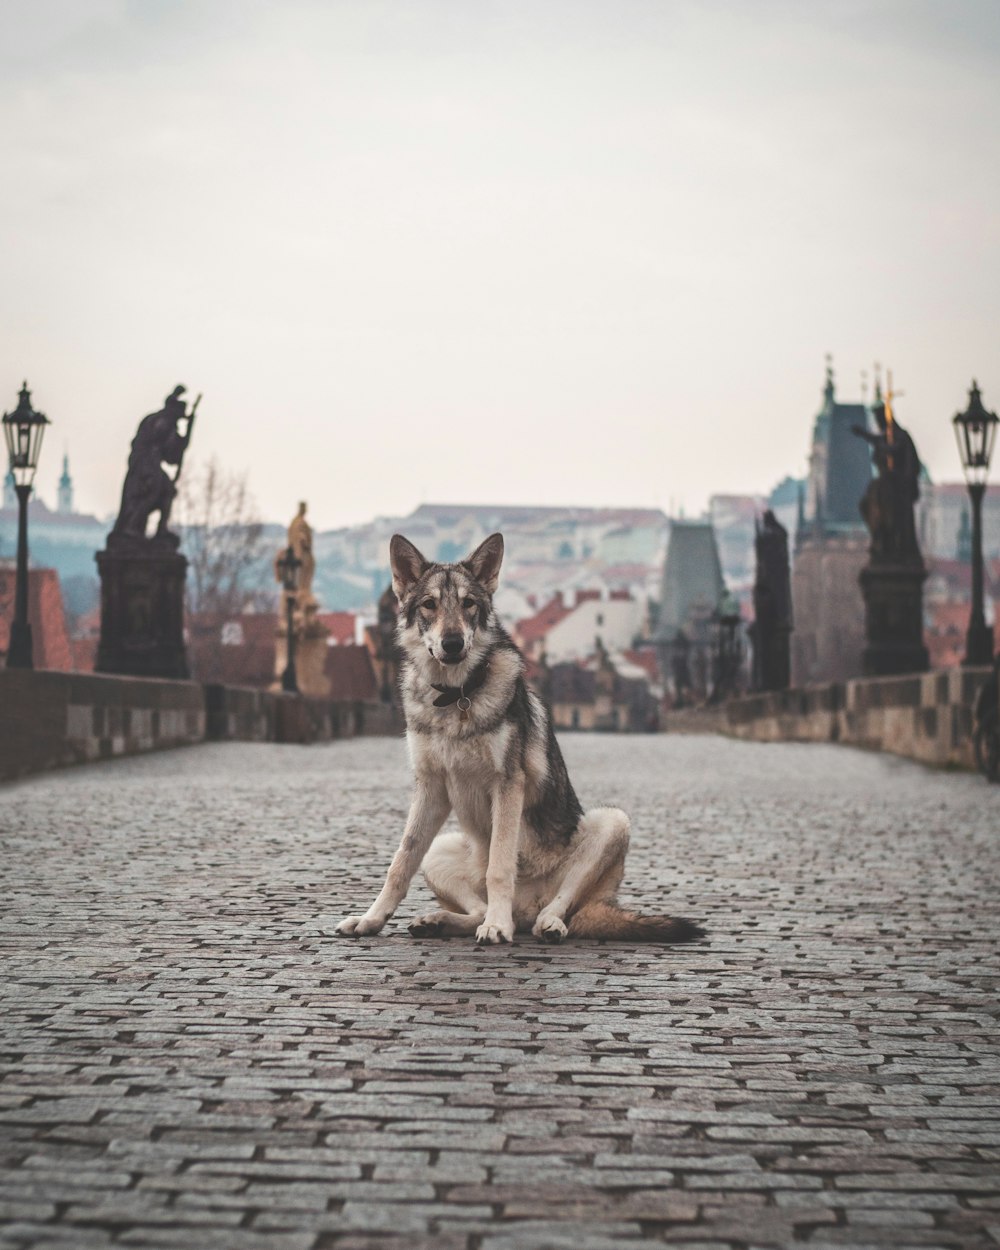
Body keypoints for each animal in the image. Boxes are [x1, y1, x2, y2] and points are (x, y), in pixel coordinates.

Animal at [335, 530, 705, 945]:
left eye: (468, 604)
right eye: (429, 605)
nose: (452, 643)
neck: (457, 695)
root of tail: (525, 911)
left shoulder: (508, 783)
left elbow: (500, 866)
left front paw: (497, 927)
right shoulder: (430, 788)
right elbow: (400, 862)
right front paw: (371, 919)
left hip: (613, 822)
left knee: (560, 906)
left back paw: (541, 924)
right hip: (440, 850)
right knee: (475, 909)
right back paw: (441, 921)